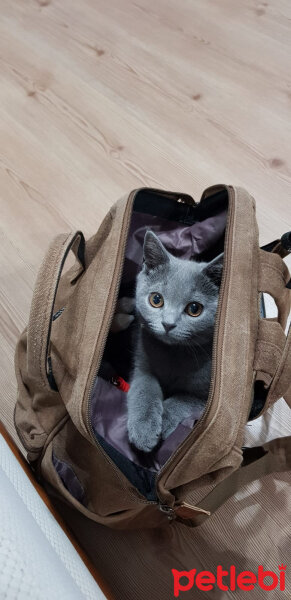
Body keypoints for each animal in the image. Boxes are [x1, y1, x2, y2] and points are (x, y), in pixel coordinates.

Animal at [126, 232, 225, 452]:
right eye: (156, 300)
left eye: (194, 309)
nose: (168, 324)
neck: (174, 353)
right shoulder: (142, 364)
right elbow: (145, 389)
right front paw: (144, 428)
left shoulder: (208, 398)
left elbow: (184, 399)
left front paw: (166, 419)